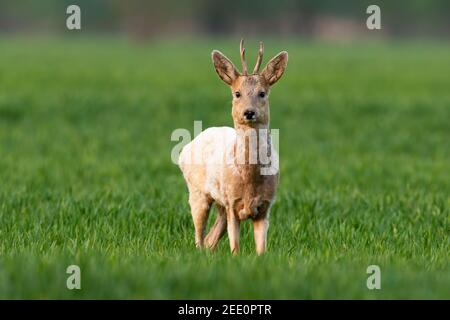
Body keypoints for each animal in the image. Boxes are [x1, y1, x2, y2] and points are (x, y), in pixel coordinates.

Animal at [179, 39, 288, 255]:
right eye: (237, 93)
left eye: (262, 93)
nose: (249, 112)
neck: (249, 181)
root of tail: (184, 150)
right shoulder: (231, 202)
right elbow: (235, 247)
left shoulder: (265, 206)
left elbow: (261, 250)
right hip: (197, 192)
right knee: (199, 236)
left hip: (219, 203)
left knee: (211, 239)